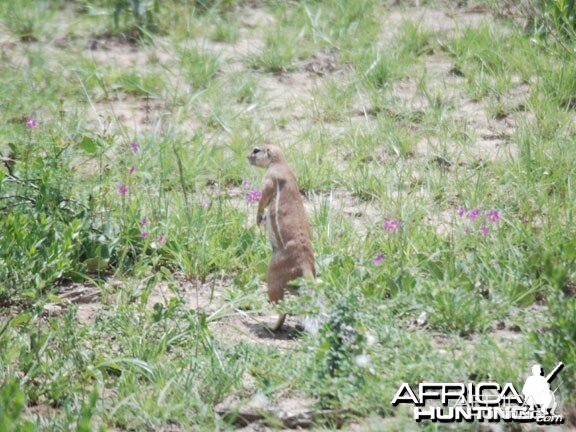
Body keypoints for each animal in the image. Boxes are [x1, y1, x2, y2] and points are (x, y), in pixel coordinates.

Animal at [246, 144, 316, 330]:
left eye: (256, 150)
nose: (247, 157)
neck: (281, 162)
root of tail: (305, 264)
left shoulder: (270, 178)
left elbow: (263, 198)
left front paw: (258, 218)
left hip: (273, 275)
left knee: (282, 307)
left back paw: (271, 326)